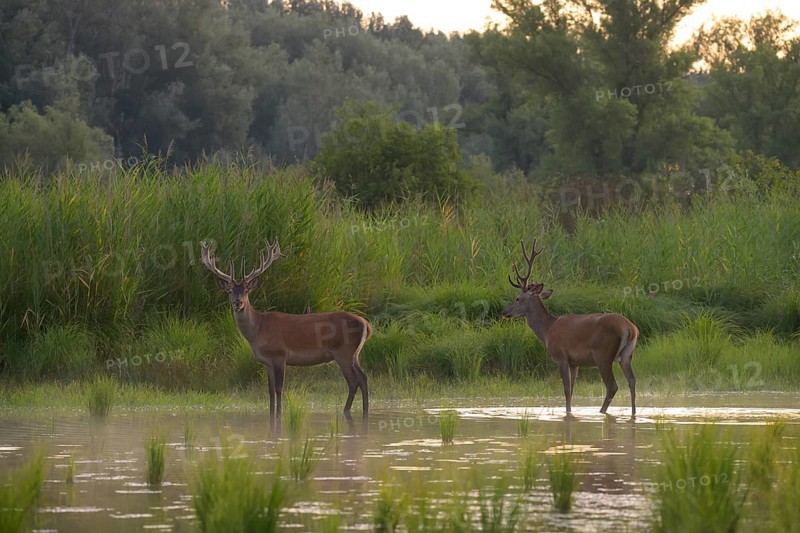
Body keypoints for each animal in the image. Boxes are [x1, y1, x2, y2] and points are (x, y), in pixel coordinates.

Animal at [200, 240, 371, 421]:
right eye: (230, 291)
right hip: (354, 354)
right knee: (363, 377)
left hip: (344, 352)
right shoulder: (266, 361)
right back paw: (364, 409)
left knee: (354, 381)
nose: (238, 302)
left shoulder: (280, 355)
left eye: (246, 290)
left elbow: (279, 388)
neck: (259, 330)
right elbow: (270, 390)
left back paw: (348, 410)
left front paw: (280, 414)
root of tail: (366, 324)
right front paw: (271, 413)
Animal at [502, 239, 639, 418]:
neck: (547, 330)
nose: (505, 312)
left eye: (518, 298)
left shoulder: (561, 356)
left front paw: (567, 414)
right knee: (632, 380)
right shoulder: (575, 362)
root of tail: (630, 328)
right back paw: (633, 414)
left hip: (603, 354)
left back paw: (601, 412)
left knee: (612, 386)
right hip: (626, 355)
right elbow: (572, 390)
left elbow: (566, 390)